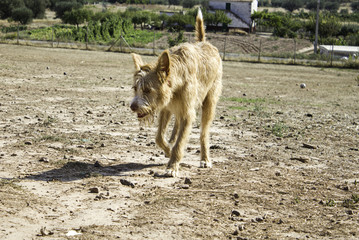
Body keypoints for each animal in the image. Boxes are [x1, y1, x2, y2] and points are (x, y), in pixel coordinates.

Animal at [131, 8, 224, 176]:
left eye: (147, 90)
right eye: (135, 89)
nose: (133, 106)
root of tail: (204, 42)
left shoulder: (188, 113)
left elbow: (180, 142)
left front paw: (172, 166)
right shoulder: (166, 108)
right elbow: (159, 137)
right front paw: (168, 150)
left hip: (209, 102)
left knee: (204, 133)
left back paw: (205, 158)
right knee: (176, 126)